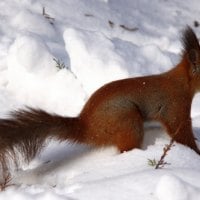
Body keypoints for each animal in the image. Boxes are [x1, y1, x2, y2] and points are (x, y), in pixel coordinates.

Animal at [0, 25, 200, 171]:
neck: (183, 82)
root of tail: (86, 127)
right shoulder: (175, 106)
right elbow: (181, 132)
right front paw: (196, 153)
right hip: (127, 120)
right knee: (125, 147)